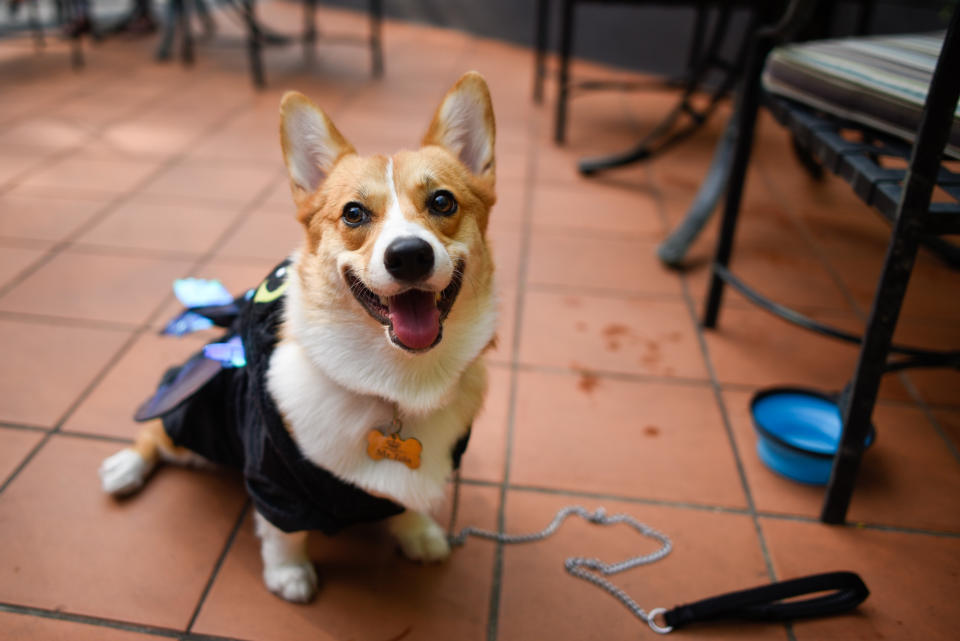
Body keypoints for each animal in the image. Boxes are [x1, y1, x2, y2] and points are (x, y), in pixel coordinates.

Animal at [100, 72, 498, 604]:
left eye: (442, 202)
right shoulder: (274, 482)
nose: (409, 255)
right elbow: (283, 534)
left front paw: (418, 535)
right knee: (157, 432)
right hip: (197, 410)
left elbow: (406, 503)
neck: (397, 385)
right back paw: (124, 468)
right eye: (354, 213)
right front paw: (289, 575)